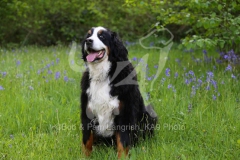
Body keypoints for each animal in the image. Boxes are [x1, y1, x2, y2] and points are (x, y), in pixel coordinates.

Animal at [80, 26, 157, 159]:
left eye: (102, 36)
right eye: (88, 35)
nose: (88, 41)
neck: (103, 76)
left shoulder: (125, 113)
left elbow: (123, 142)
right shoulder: (87, 111)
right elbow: (87, 140)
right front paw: (85, 156)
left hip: (149, 114)